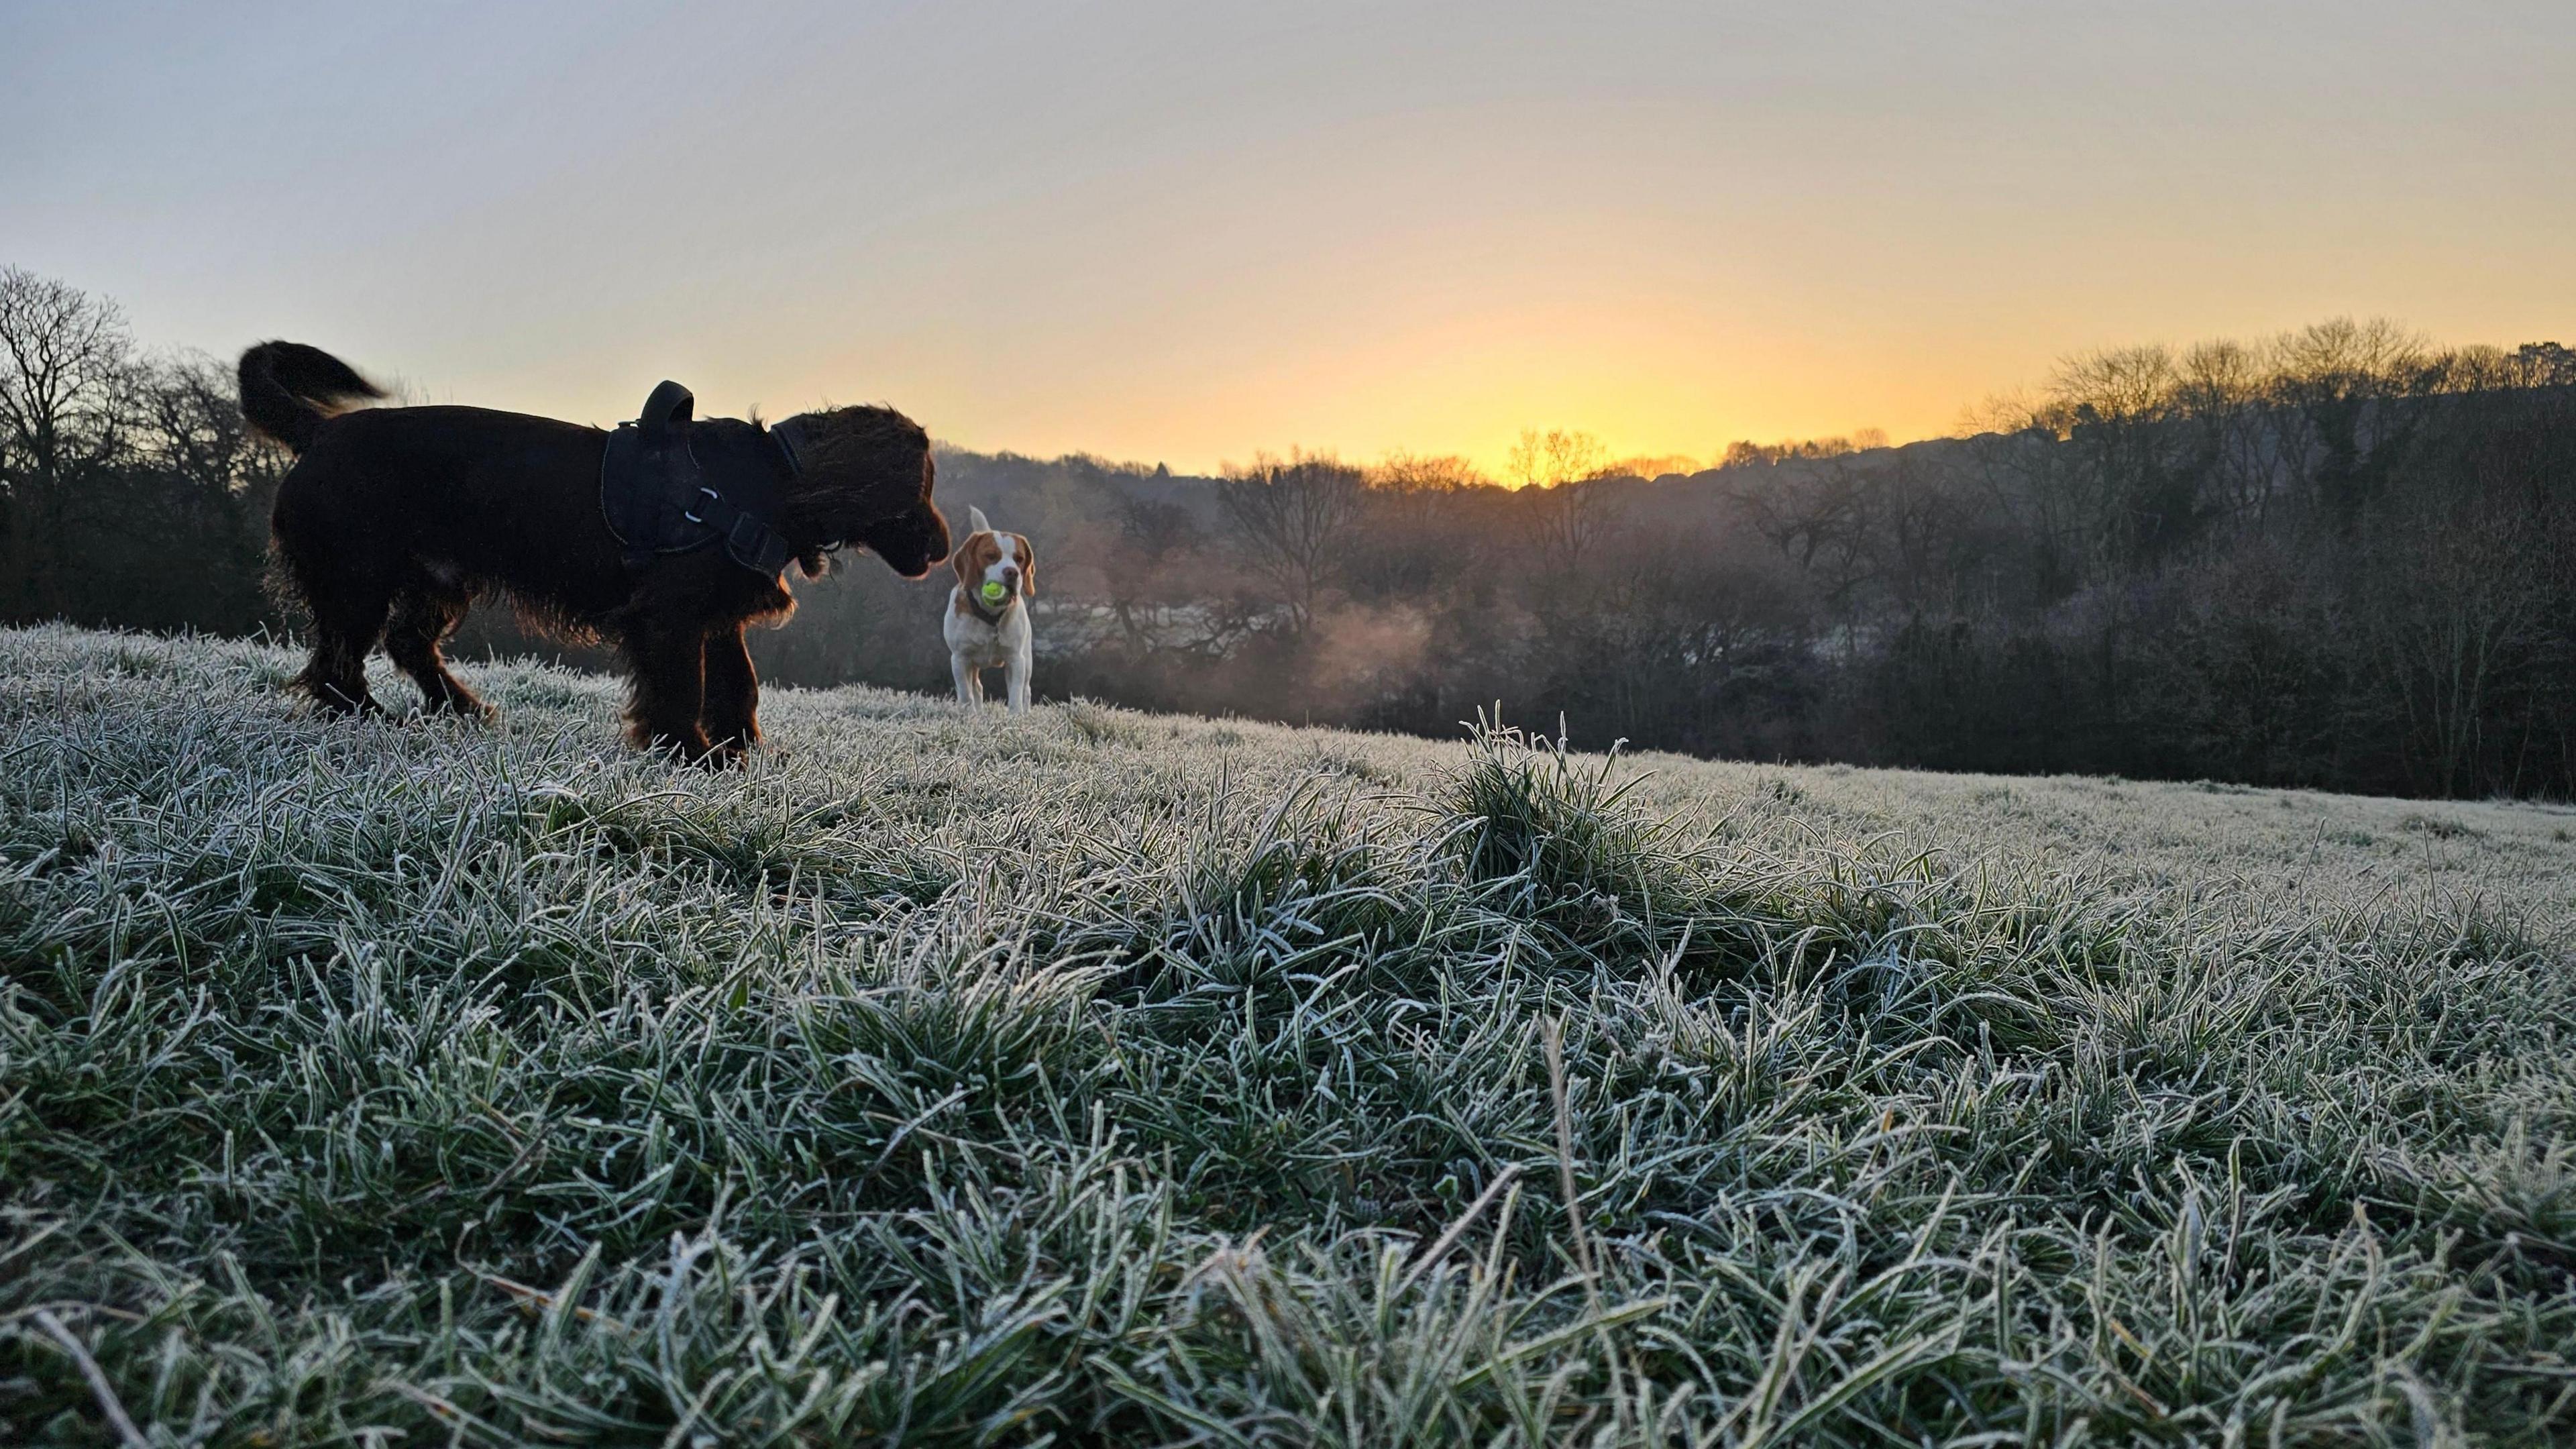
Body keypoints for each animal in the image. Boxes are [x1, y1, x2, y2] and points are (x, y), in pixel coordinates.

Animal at [239, 343, 948, 763]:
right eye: (922, 488)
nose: (944, 550)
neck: (773, 477)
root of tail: (320, 431)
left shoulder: (717, 615)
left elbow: (738, 686)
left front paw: (741, 750)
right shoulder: (668, 618)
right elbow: (680, 689)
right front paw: (689, 754)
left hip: (436, 579)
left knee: (407, 645)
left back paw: (463, 709)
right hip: (357, 579)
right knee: (336, 668)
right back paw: (374, 720)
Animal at [948, 505, 1035, 711]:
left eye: (1019, 559)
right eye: (990, 556)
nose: (1012, 573)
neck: (990, 615)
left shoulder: (1015, 659)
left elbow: (1015, 696)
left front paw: (1016, 716)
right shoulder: (960, 659)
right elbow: (966, 694)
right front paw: (967, 714)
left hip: (1027, 660)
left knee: (1026, 690)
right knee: (976, 688)